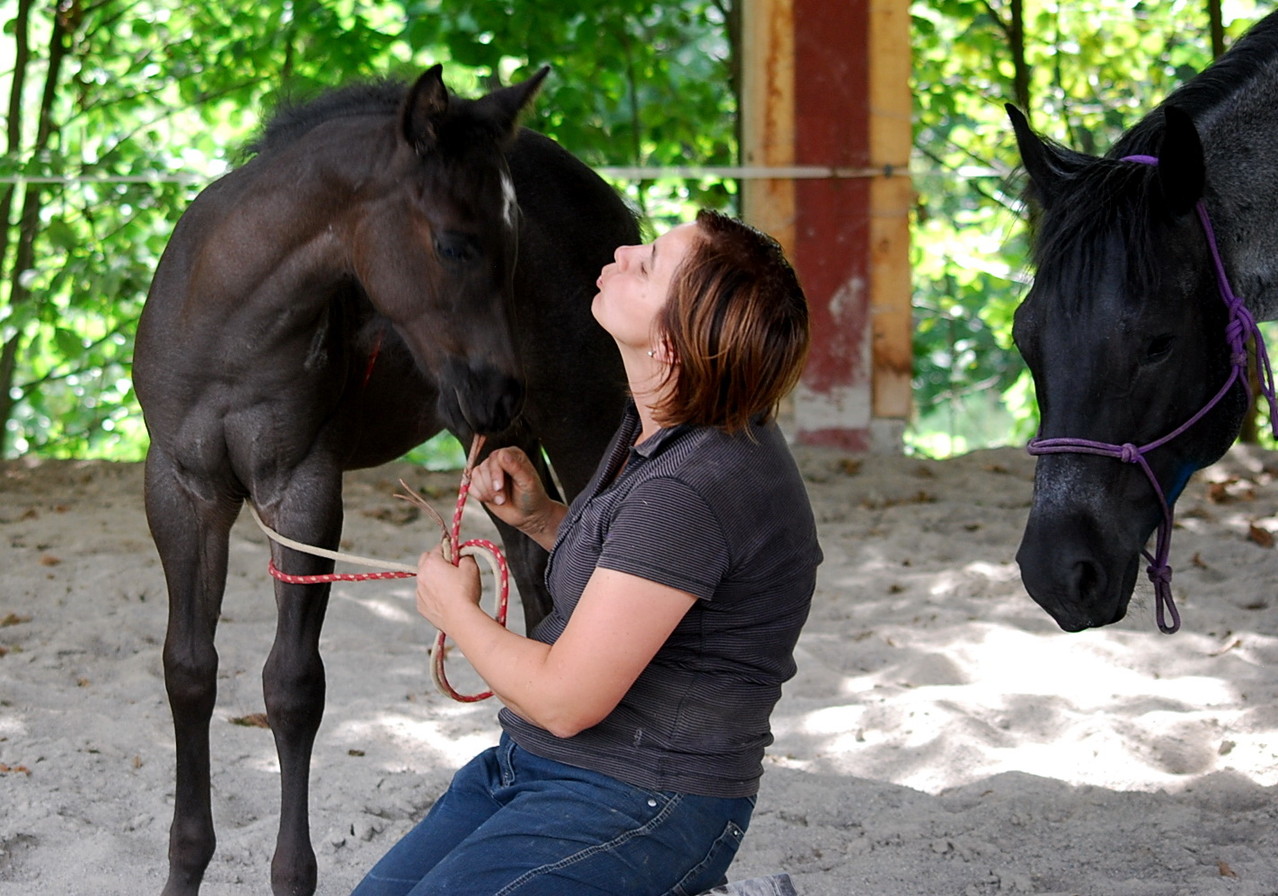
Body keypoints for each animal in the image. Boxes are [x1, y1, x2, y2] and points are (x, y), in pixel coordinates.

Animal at [130, 68, 639, 894]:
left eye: (516, 246)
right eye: (454, 243)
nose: (499, 389)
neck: (230, 324)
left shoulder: (303, 492)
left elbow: (292, 686)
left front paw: (291, 875)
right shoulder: (182, 493)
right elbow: (189, 671)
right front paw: (184, 868)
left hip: (580, 418)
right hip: (498, 441)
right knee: (538, 586)